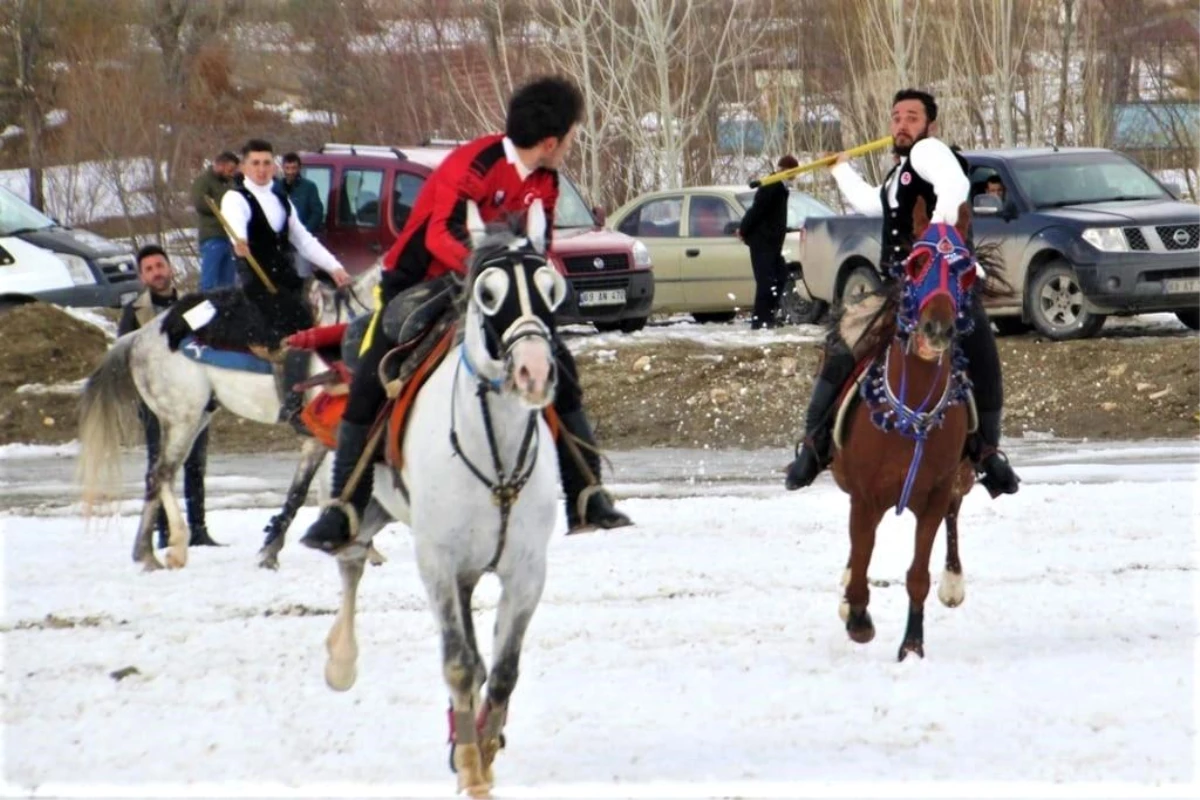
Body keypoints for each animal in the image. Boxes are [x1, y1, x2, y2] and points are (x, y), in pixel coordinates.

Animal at [75, 266, 381, 573]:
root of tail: (139, 336)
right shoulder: (328, 436)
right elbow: (318, 491)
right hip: (182, 419)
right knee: (162, 474)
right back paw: (175, 549)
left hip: (197, 418)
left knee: (156, 478)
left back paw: (145, 554)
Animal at [324, 199, 566, 796]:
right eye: (488, 294)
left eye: (552, 289)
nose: (534, 372)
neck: (492, 448)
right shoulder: (437, 561)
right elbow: (459, 663)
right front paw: (472, 765)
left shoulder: (527, 570)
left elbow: (501, 671)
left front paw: (483, 747)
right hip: (364, 509)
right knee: (350, 563)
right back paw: (341, 661)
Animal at [830, 199, 988, 662]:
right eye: (917, 263)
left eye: (964, 271)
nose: (937, 328)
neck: (912, 415)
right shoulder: (865, 496)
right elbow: (862, 556)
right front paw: (858, 617)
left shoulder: (935, 493)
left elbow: (918, 572)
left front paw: (912, 646)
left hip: (960, 478)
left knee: (954, 516)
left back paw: (953, 582)